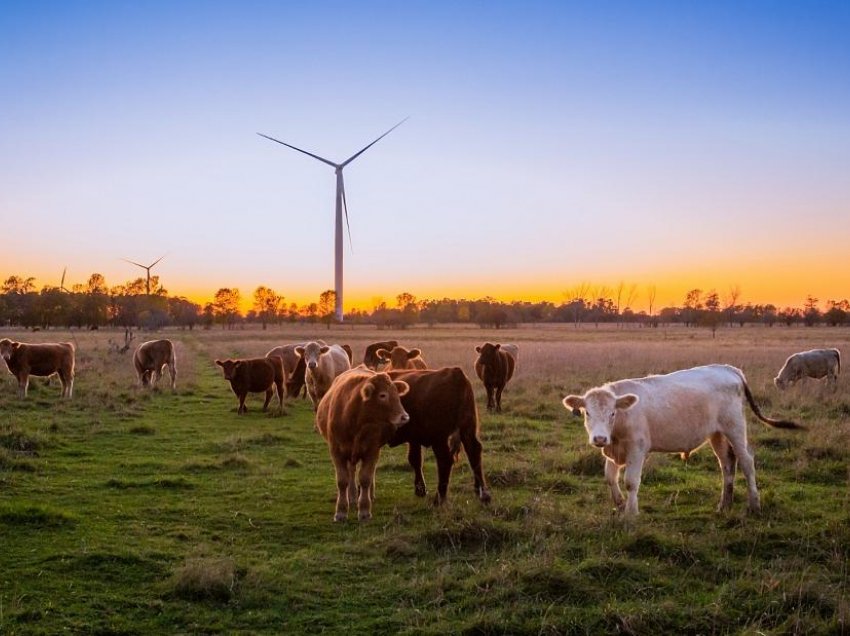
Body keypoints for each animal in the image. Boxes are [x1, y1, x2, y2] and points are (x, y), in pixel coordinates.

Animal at [318, 368, 410, 520]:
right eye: (383, 395)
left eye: (397, 394)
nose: (405, 417)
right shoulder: (336, 452)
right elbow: (342, 480)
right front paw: (341, 511)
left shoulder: (372, 450)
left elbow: (365, 478)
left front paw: (365, 510)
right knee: (351, 471)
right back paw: (352, 496)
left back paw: (369, 495)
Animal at [386, 368, 490, 506]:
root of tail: (455, 373)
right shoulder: (414, 439)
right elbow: (415, 459)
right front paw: (420, 490)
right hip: (467, 429)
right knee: (474, 452)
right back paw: (482, 494)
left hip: (439, 439)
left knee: (445, 460)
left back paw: (439, 498)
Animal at [564, 362, 800, 516]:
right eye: (587, 413)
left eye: (613, 413)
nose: (599, 438)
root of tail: (727, 368)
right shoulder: (614, 450)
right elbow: (610, 478)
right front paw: (621, 505)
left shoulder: (637, 449)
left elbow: (631, 482)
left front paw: (631, 515)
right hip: (716, 433)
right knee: (727, 464)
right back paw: (724, 505)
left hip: (735, 427)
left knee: (747, 462)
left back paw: (754, 505)